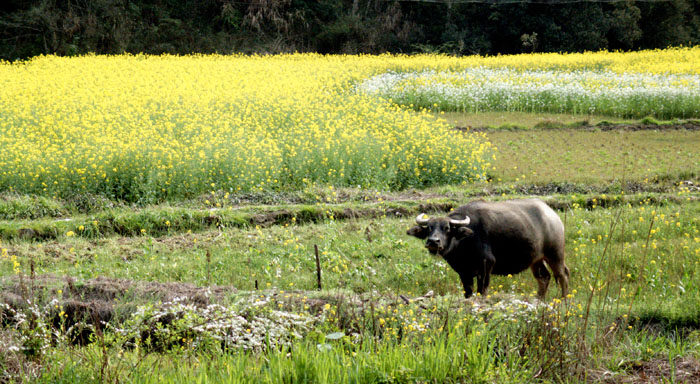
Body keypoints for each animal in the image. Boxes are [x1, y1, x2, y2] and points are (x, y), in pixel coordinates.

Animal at [408, 200, 572, 298]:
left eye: (447, 228)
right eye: (429, 228)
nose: (433, 242)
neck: (464, 242)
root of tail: (553, 215)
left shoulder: (486, 265)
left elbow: (482, 290)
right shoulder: (463, 272)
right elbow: (468, 292)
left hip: (555, 254)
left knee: (563, 275)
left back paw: (564, 300)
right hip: (536, 259)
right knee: (544, 277)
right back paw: (539, 300)